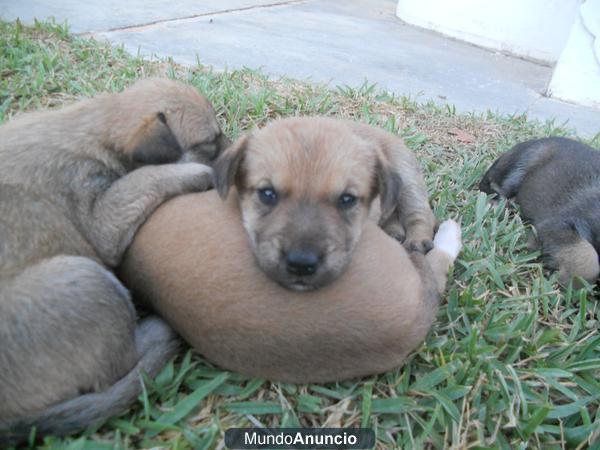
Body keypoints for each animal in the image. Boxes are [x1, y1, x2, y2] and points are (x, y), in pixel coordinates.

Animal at [0, 77, 230, 442]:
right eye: (210, 142)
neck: (99, 126)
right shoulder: (102, 217)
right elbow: (145, 178)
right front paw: (199, 170)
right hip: (89, 281)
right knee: (123, 364)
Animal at [213, 118, 434, 290]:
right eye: (267, 193)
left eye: (347, 199)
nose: (301, 264)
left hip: (406, 175)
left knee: (420, 213)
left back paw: (417, 240)